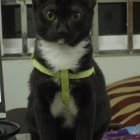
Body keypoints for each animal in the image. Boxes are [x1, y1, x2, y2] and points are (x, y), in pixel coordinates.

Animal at [26, 0, 110, 140]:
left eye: (76, 16)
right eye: (49, 14)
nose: (62, 30)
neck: (62, 56)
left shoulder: (88, 100)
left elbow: (85, 131)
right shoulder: (39, 99)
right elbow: (46, 131)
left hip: (104, 114)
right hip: (30, 117)